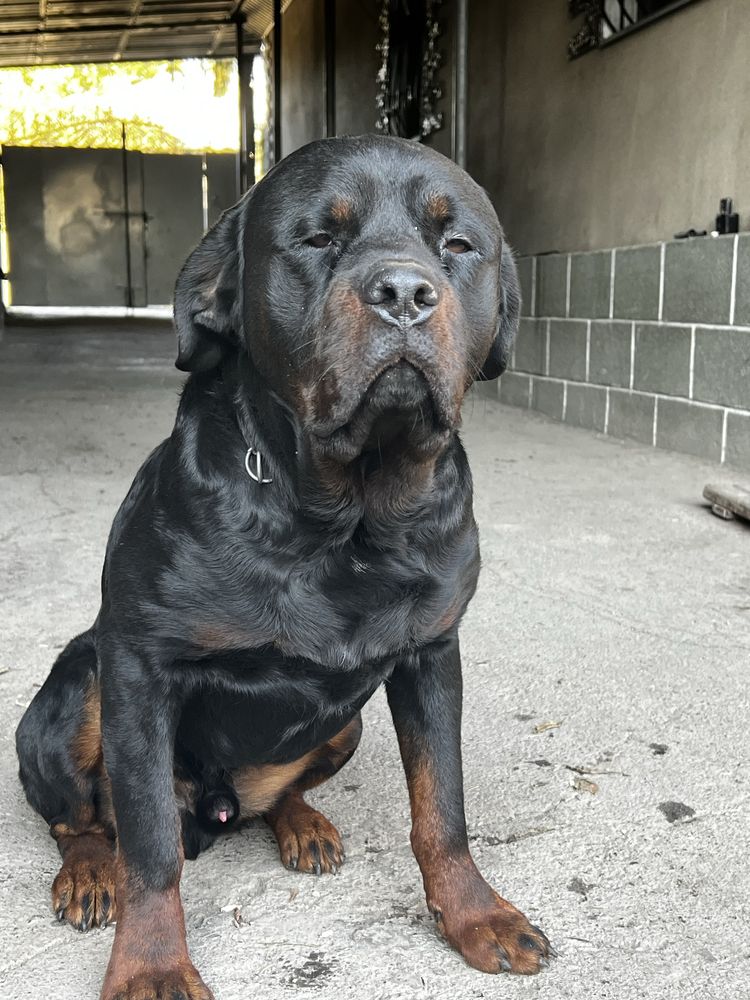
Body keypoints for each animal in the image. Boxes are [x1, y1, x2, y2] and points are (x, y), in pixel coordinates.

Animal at [16, 135, 552, 999]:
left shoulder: (433, 656)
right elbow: (149, 848)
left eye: (459, 245)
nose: (405, 291)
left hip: (346, 721)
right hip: (77, 691)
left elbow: (443, 806)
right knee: (83, 818)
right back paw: (90, 872)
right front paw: (152, 963)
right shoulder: (138, 666)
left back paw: (302, 823)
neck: (347, 516)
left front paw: (476, 915)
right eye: (317, 239)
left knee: (279, 793)